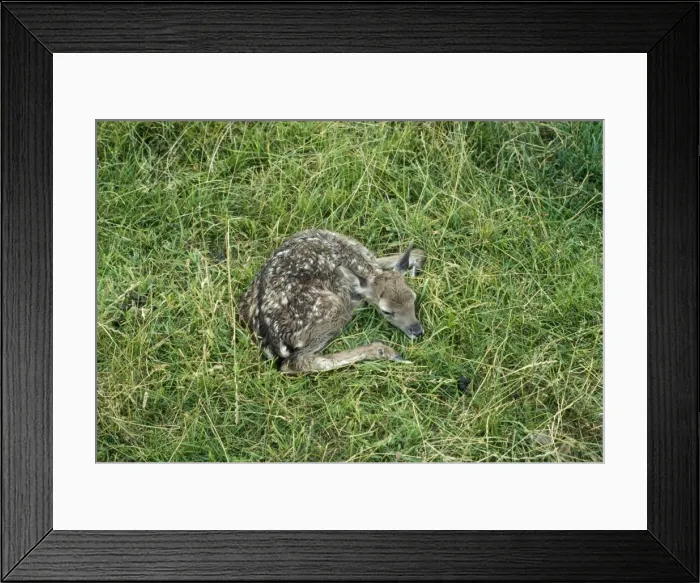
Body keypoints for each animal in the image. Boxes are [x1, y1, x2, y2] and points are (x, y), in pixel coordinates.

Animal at [238, 229, 426, 374]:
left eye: (413, 297)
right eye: (386, 311)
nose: (417, 331)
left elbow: (418, 251)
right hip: (332, 310)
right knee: (294, 362)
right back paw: (384, 351)